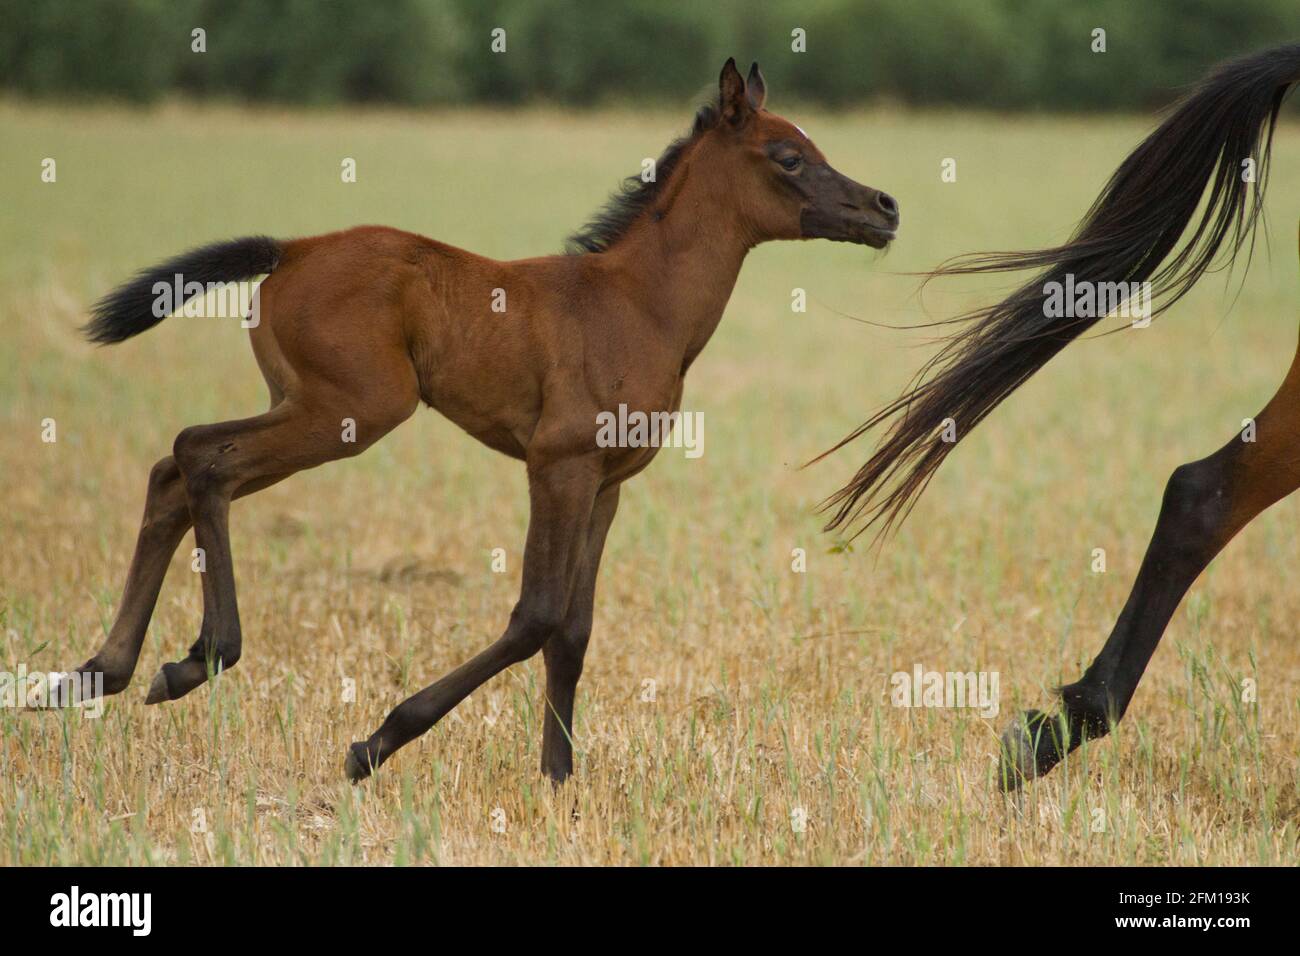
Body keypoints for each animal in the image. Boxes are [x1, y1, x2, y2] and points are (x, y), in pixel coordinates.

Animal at [71, 61, 899, 785]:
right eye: (789, 156)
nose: (885, 209)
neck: (638, 303)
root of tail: (292, 250)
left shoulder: (608, 484)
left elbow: (574, 632)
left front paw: (559, 779)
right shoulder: (558, 464)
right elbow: (536, 616)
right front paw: (376, 743)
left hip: (303, 404)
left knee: (174, 470)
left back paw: (101, 672)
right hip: (348, 411)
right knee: (202, 455)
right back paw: (197, 659)